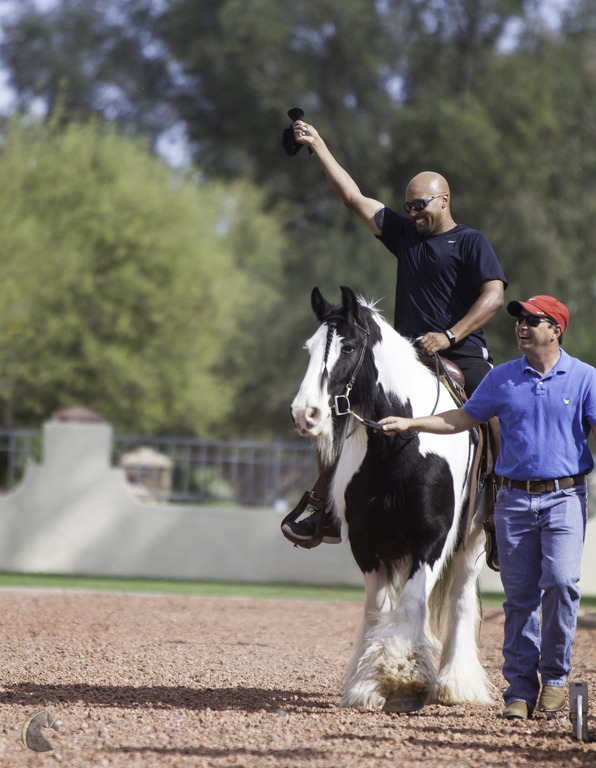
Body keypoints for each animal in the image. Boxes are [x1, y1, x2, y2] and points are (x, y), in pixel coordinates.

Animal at [290, 285, 494, 712]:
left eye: (349, 347)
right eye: (310, 347)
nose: (305, 413)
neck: (401, 441)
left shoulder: (431, 542)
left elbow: (413, 604)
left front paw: (401, 676)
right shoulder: (366, 544)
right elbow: (378, 610)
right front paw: (371, 683)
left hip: (473, 543)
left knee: (461, 600)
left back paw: (455, 683)